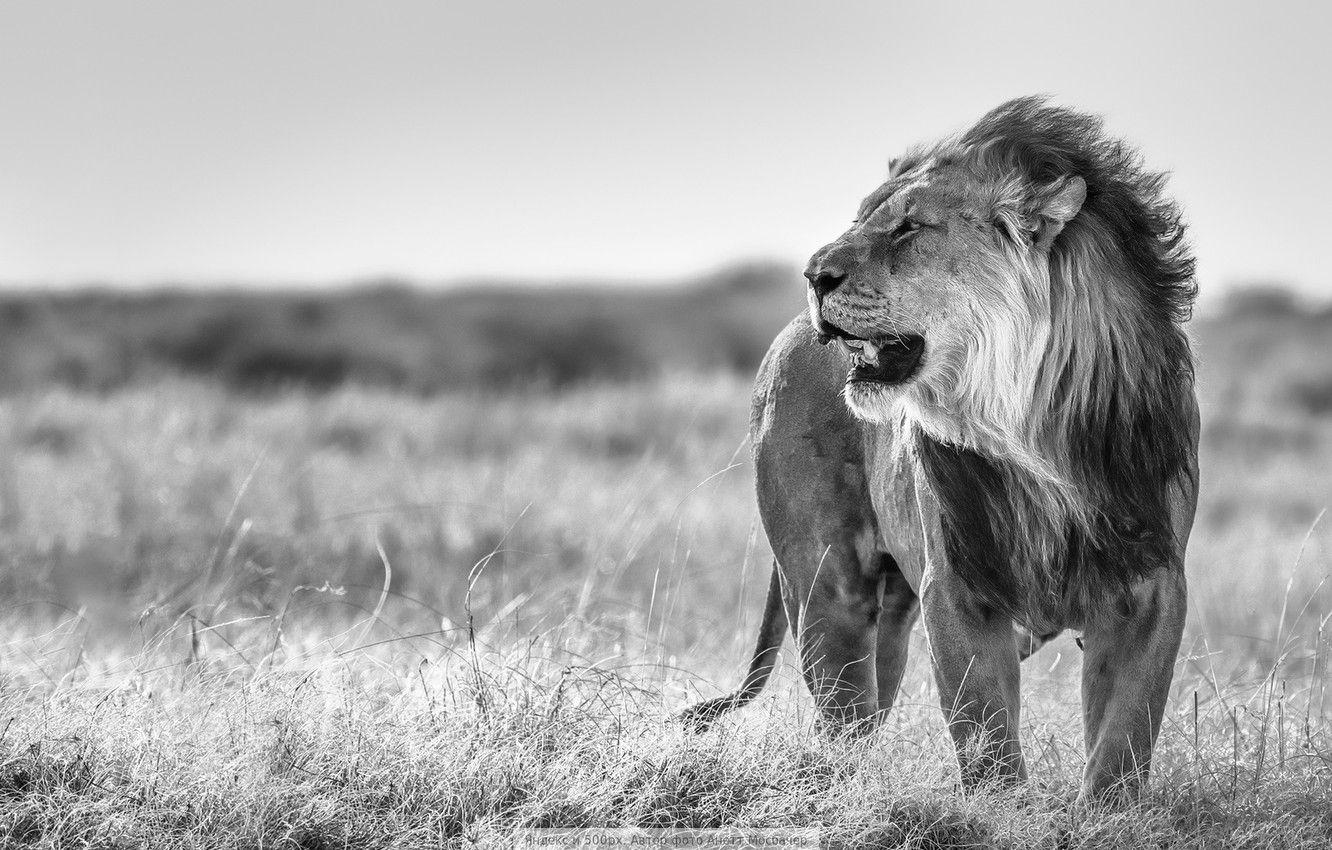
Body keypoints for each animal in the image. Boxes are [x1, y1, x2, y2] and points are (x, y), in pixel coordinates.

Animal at [680, 97, 1199, 802]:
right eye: (861, 218)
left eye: (909, 228)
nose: (814, 275)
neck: (1035, 431)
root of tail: (787, 332)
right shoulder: (958, 584)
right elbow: (985, 730)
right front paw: (1002, 811)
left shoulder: (1150, 582)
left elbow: (1125, 734)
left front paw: (1105, 814)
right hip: (829, 587)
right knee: (843, 714)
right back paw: (843, 792)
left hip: (894, 614)